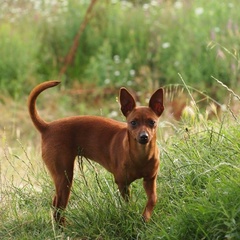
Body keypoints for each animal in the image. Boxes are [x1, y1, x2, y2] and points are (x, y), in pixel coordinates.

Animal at [27, 80, 163, 225]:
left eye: (152, 122)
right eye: (133, 123)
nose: (144, 137)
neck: (140, 155)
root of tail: (47, 127)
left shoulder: (150, 179)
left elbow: (153, 199)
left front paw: (145, 217)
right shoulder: (122, 184)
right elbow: (128, 204)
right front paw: (132, 213)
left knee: (56, 205)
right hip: (64, 177)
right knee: (58, 207)